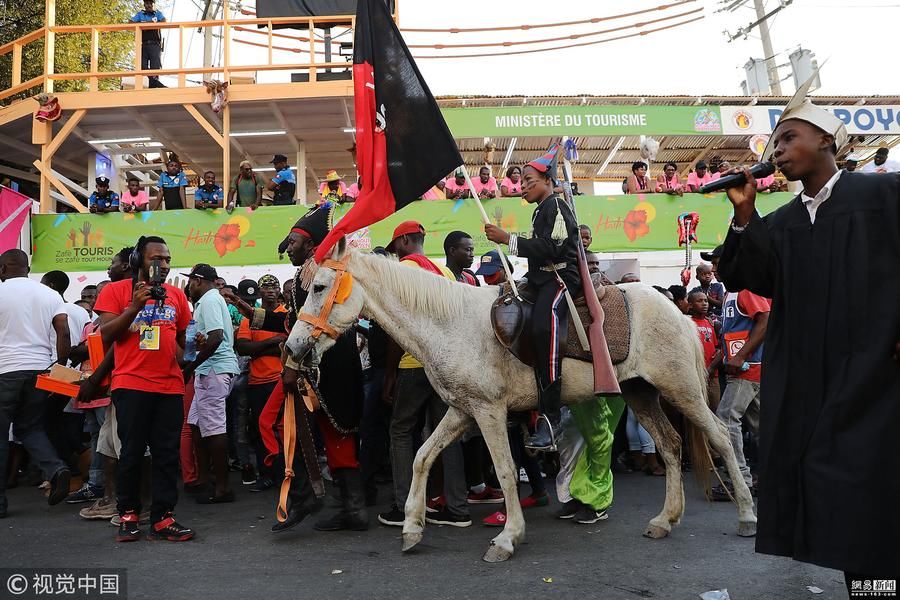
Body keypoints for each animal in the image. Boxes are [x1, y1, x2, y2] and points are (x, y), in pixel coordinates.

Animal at [284, 239, 756, 564]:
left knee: (719, 436)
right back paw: (664, 520)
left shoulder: (489, 412)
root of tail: (679, 313)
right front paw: (413, 527)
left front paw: (508, 537)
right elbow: (422, 457)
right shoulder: (462, 409)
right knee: (672, 446)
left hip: (682, 390)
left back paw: (747, 516)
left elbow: (507, 471)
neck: (448, 322)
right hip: (642, 393)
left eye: (320, 286)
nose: (292, 348)